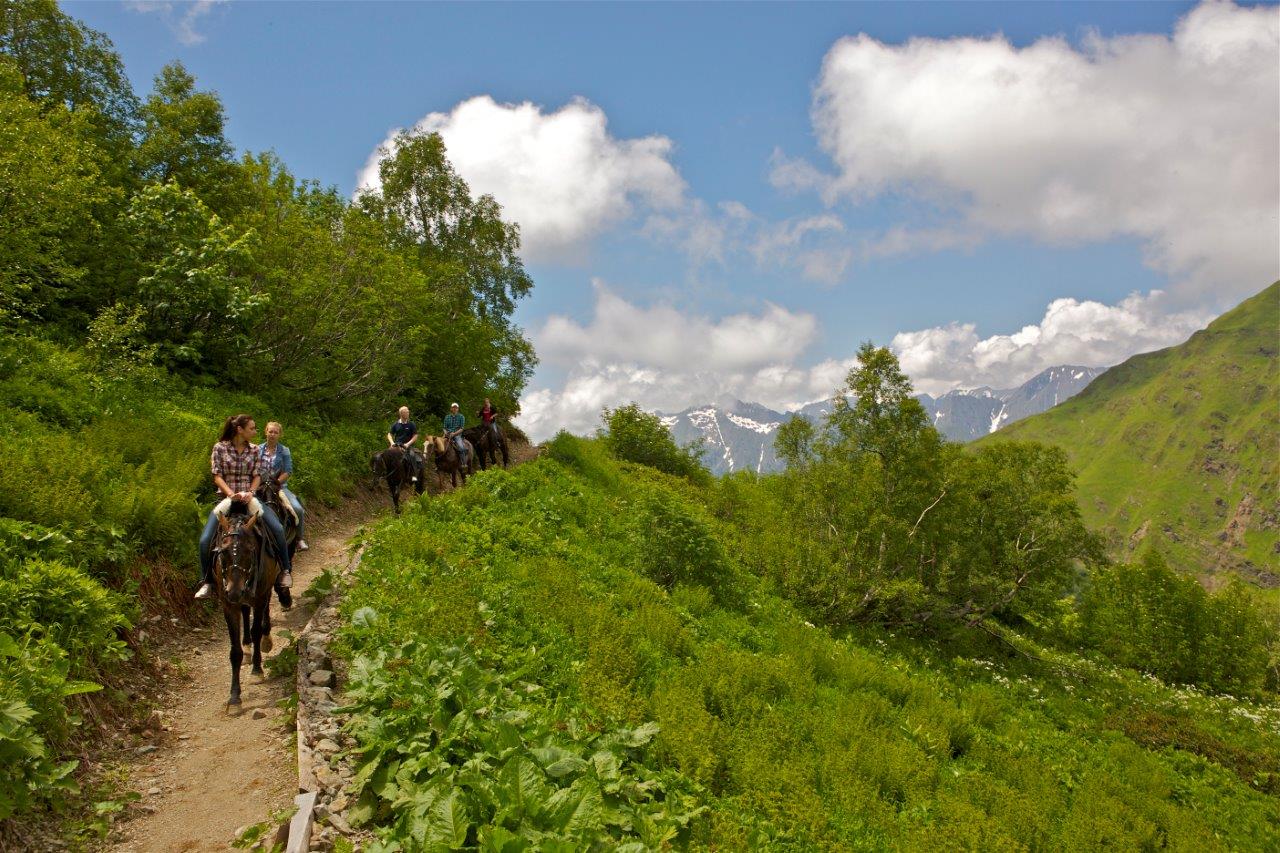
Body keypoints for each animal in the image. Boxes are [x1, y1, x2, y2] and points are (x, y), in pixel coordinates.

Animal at [212, 504, 280, 701]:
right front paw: (234, 695)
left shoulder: (259, 598)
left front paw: (257, 671)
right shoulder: (228, 605)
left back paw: (265, 640)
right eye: (222, 552)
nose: (235, 591)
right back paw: (248, 646)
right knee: (244, 610)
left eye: (250, 551)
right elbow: (235, 651)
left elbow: (256, 630)